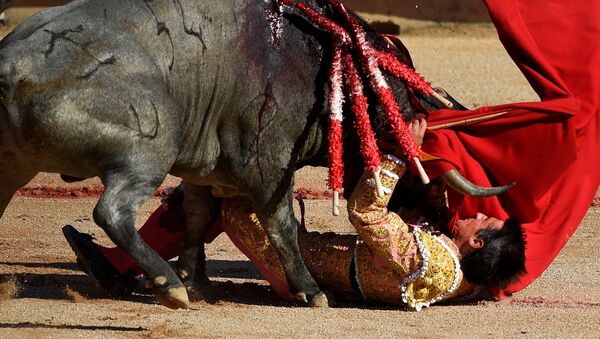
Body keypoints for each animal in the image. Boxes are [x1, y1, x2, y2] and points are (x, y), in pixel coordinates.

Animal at [0, 0, 508, 310]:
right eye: (422, 183)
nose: (432, 222)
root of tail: (12, 63)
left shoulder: (207, 168)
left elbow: (197, 213)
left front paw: (198, 280)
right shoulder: (267, 166)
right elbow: (280, 224)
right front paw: (311, 291)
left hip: (15, 166)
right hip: (147, 153)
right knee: (113, 211)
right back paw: (167, 286)